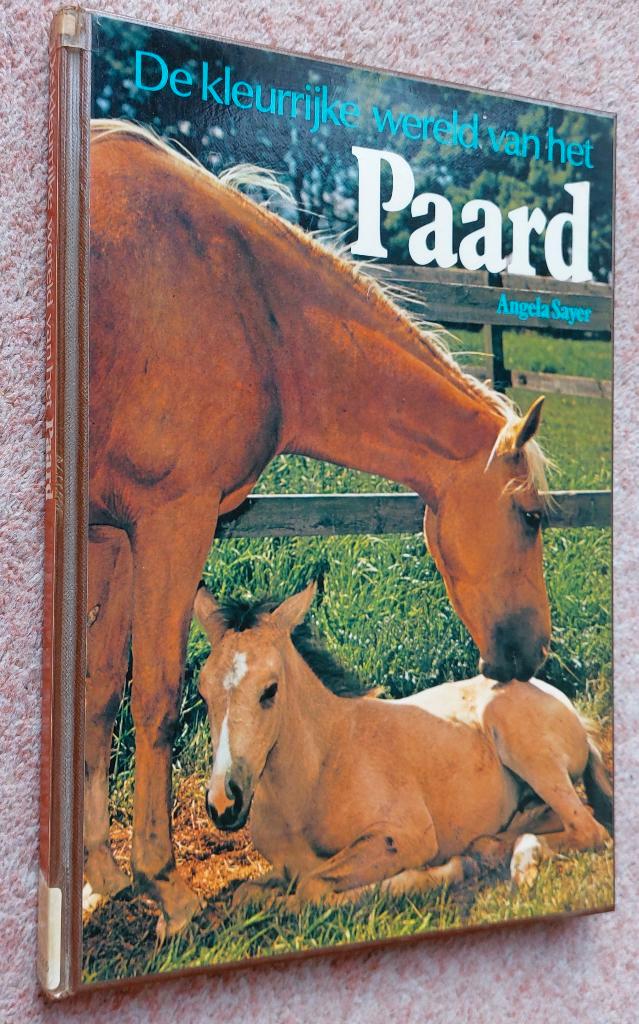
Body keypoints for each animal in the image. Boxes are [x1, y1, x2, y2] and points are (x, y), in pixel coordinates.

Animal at [85, 119, 551, 936]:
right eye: (528, 516)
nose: (535, 653)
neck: (247, 304)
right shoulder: (171, 521)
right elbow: (157, 698)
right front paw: (162, 885)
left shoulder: (114, 533)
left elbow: (100, 689)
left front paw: (98, 875)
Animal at [193, 582, 611, 909]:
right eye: (202, 692)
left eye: (270, 690)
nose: (224, 803)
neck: (320, 771)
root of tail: (570, 710)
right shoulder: (282, 867)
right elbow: (247, 894)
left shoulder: (405, 836)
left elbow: (313, 888)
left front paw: (440, 873)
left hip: (527, 750)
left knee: (589, 830)